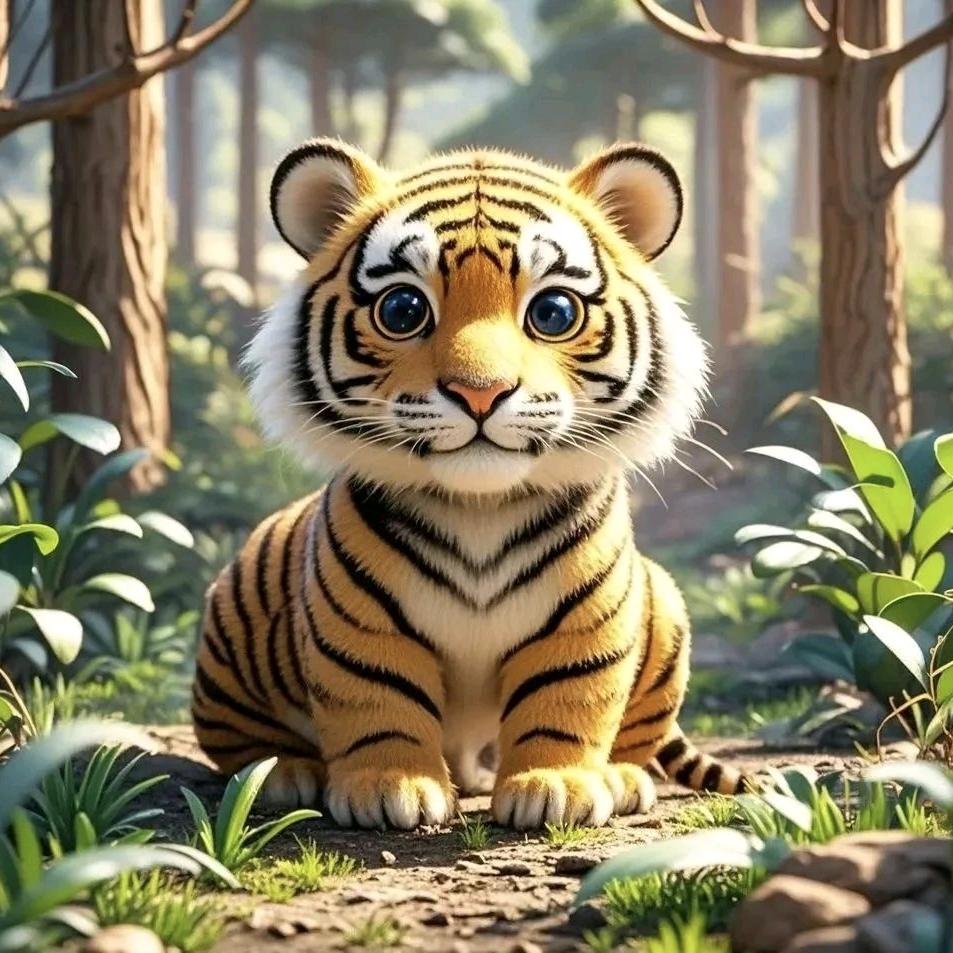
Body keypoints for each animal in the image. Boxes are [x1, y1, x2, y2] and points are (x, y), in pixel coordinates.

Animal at [191, 137, 748, 831]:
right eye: (403, 310)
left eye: (553, 312)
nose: (480, 392)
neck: (481, 507)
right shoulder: (359, 626)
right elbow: (376, 699)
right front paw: (388, 787)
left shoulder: (586, 625)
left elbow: (568, 700)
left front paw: (554, 787)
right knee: (241, 743)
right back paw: (284, 775)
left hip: (664, 603)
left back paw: (616, 779)